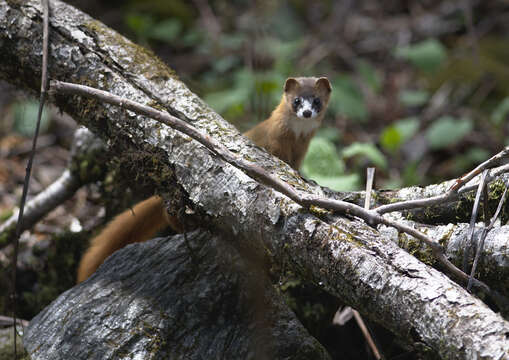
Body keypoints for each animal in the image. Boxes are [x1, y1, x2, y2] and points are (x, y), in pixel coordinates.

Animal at [74, 77, 330, 282]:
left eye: (316, 101)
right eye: (297, 100)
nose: (307, 112)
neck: (294, 140)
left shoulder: (301, 153)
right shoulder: (273, 142)